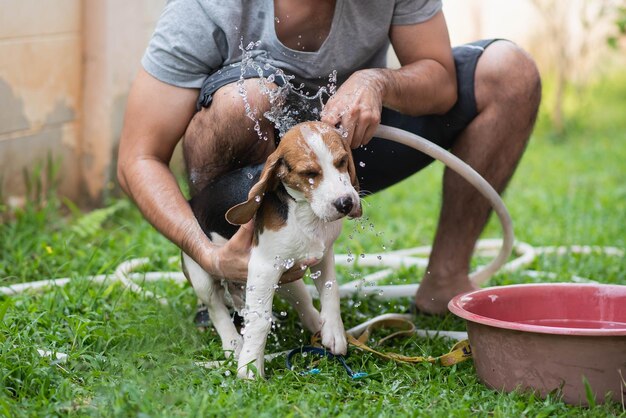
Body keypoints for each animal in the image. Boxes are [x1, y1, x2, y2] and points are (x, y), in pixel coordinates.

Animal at [180, 120, 360, 378]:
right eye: (309, 174)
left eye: (342, 161)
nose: (345, 203)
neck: (303, 211)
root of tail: (192, 203)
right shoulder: (263, 267)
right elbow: (259, 321)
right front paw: (250, 366)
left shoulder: (322, 255)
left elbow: (330, 291)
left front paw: (334, 332)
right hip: (201, 272)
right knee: (216, 309)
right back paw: (233, 344)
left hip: (286, 277)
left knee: (302, 299)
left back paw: (316, 323)